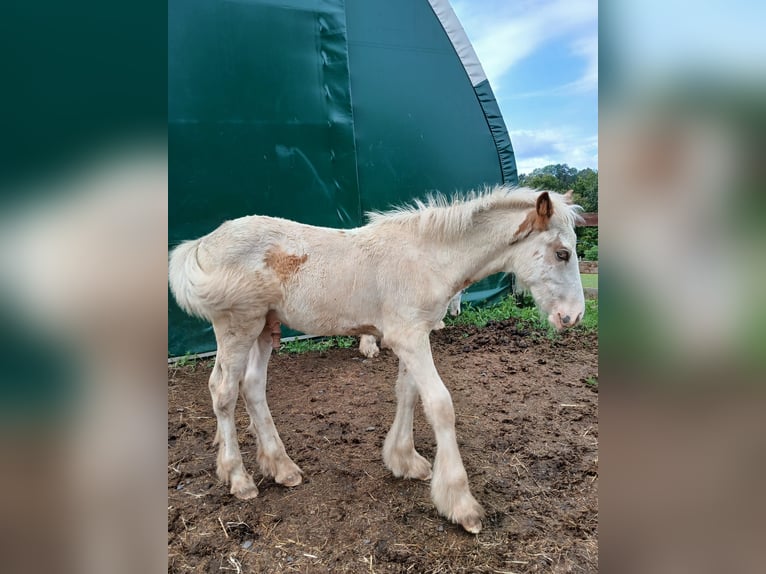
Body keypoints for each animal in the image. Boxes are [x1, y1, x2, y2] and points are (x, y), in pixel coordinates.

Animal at [170, 187, 588, 532]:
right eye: (562, 253)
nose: (573, 316)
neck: (428, 257)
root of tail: (204, 243)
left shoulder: (412, 335)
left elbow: (407, 394)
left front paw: (404, 460)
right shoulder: (409, 337)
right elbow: (440, 405)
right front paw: (461, 504)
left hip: (263, 328)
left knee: (253, 387)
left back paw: (282, 467)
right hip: (238, 326)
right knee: (223, 391)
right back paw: (238, 479)